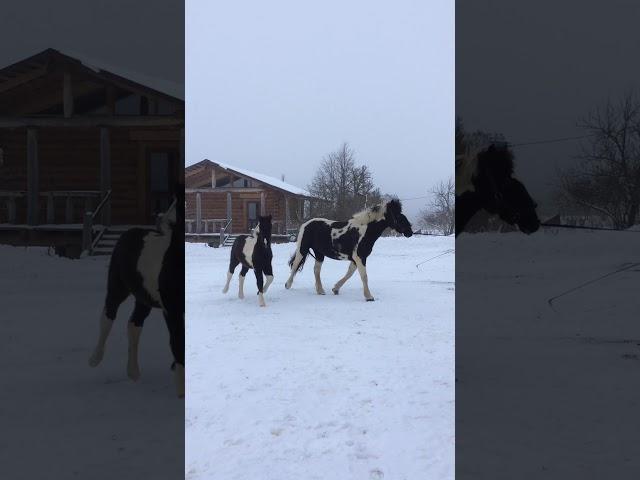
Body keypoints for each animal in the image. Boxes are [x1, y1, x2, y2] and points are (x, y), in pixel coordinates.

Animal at [87, 188, 185, 398]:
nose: (163, 219)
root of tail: (128, 233)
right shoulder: (171, 311)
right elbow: (177, 344)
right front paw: (181, 393)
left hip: (144, 298)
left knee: (134, 324)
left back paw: (133, 373)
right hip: (117, 288)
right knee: (108, 316)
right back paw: (94, 359)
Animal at [284, 199, 412, 300]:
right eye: (398, 216)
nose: (410, 232)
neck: (364, 232)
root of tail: (306, 224)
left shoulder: (356, 258)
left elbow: (349, 273)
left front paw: (335, 289)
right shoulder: (360, 257)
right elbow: (364, 276)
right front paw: (369, 297)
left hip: (319, 253)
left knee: (316, 270)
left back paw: (320, 291)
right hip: (303, 249)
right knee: (295, 265)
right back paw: (288, 285)